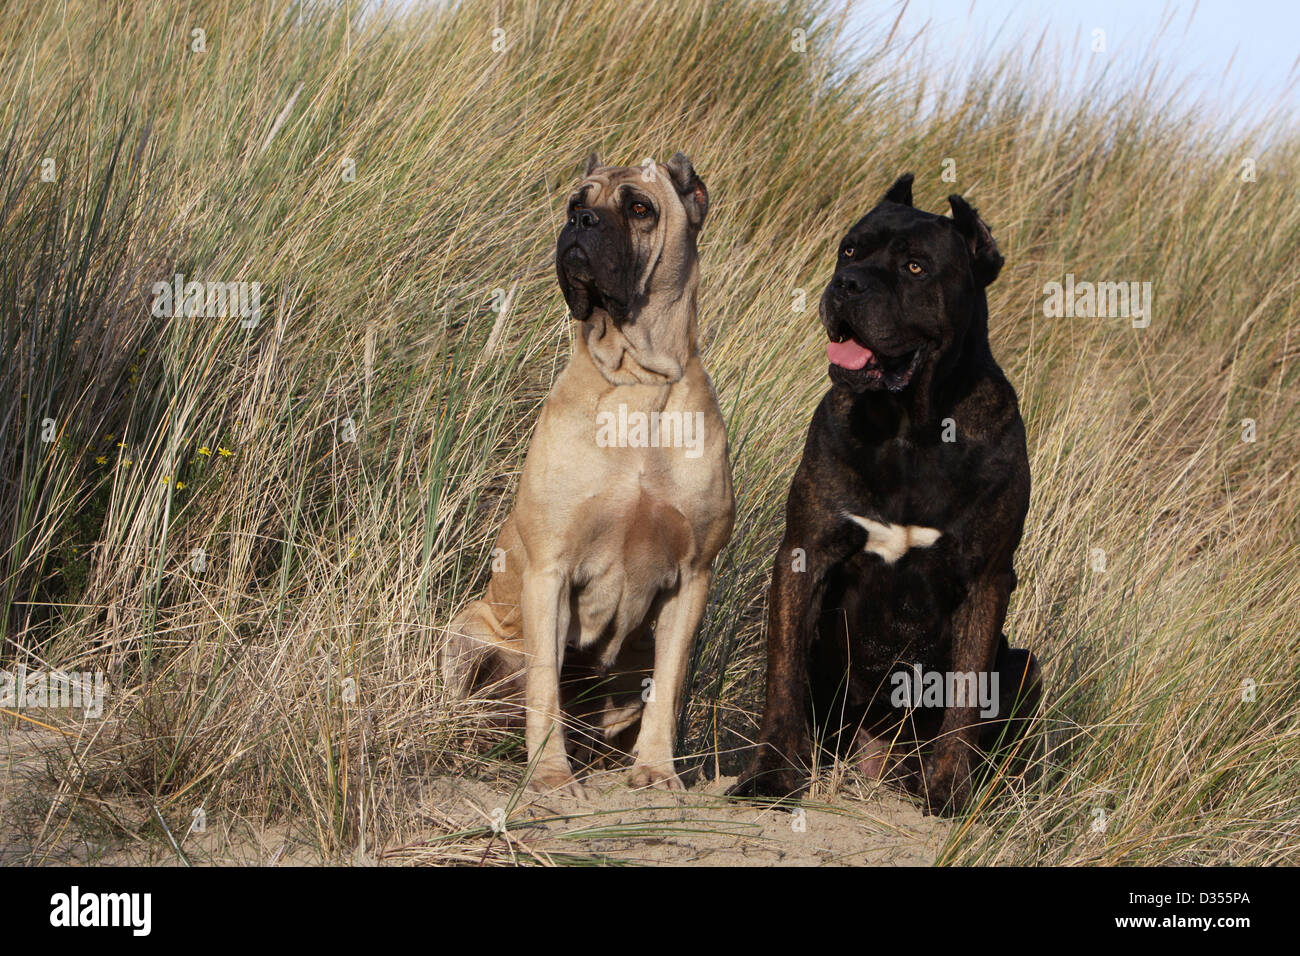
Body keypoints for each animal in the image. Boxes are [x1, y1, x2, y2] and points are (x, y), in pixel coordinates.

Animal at [444, 155, 733, 801]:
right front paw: (551, 777)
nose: (580, 221)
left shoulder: (692, 578)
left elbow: (667, 690)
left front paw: (657, 771)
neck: (637, 383)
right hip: (468, 632)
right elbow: (544, 687)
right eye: (578, 200)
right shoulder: (549, 569)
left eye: (639, 208)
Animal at [738, 174, 1040, 816]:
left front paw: (948, 791)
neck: (909, 429)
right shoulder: (806, 552)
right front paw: (772, 776)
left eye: (916, 267)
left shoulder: (987, 579)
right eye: (850, 250)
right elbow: (784, 677)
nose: (847, 284)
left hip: (1026, 665)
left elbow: (966, 694)